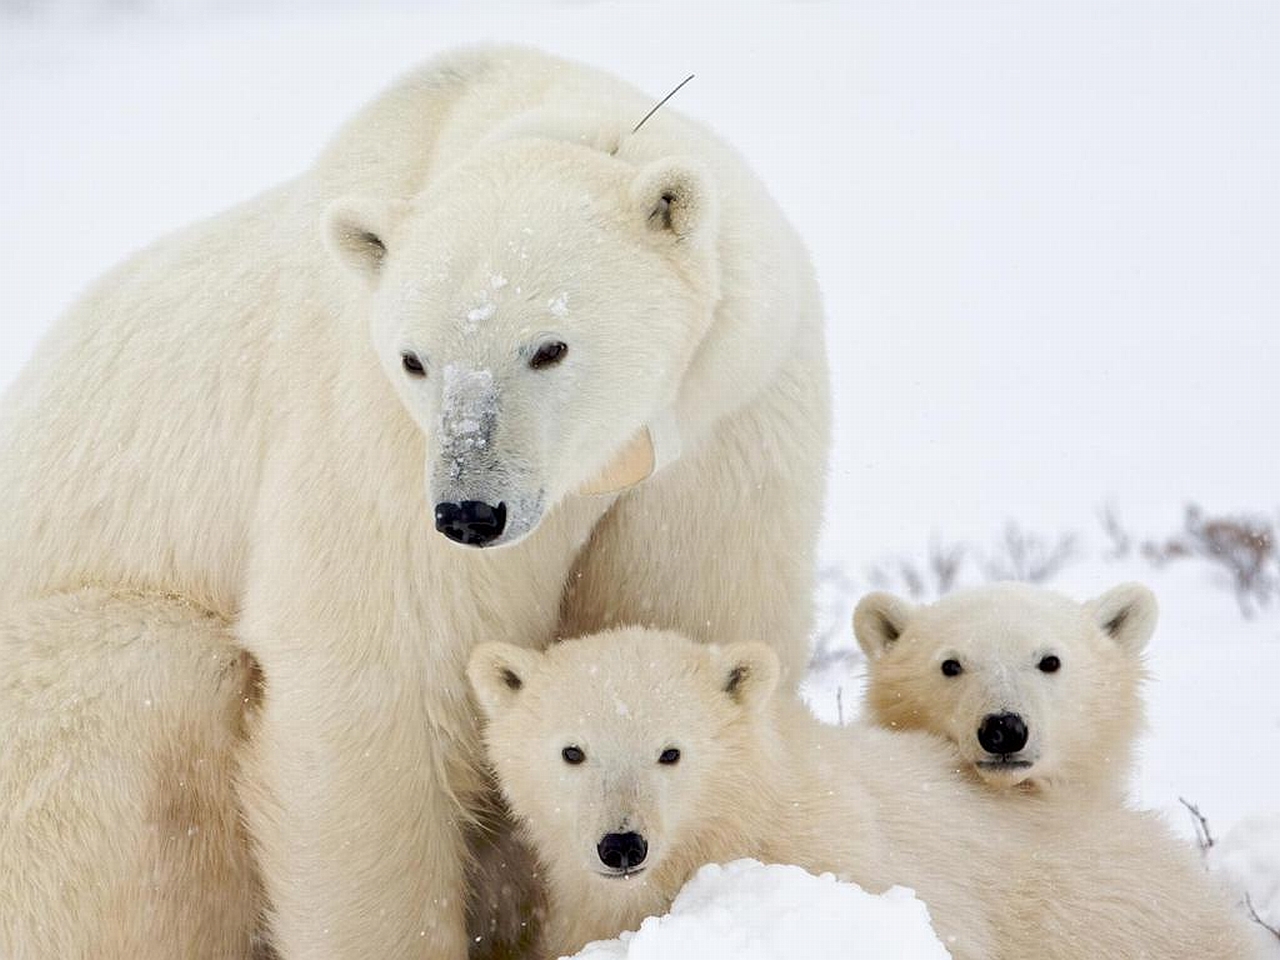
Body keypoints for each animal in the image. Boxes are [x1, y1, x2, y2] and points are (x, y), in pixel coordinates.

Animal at [0, 43, 829, 960]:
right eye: (414, 359)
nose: (471, 513)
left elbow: (689, 615)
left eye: (549, 346)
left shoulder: (726, 425)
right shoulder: (372, 433)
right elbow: (379, 676)